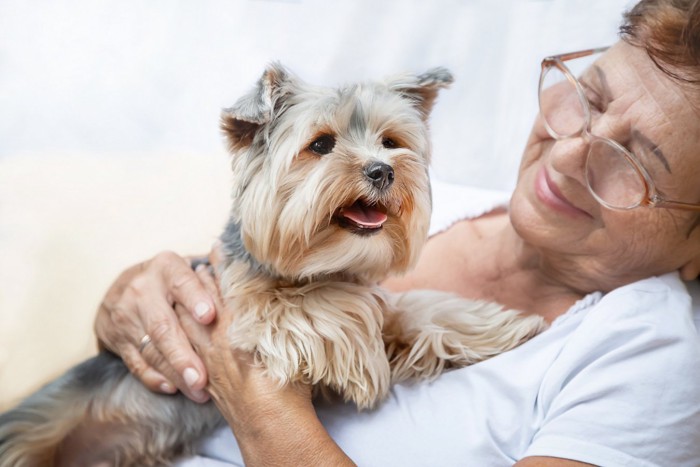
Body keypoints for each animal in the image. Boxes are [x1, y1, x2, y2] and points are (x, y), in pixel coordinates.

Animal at [0, 64, 548, 466]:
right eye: (321, 144)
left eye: (391, 142)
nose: (383, 170)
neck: (324, 262)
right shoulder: (242, 304)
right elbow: (322, 306)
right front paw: (363, 357)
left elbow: (409, 308)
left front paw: (501, 324)